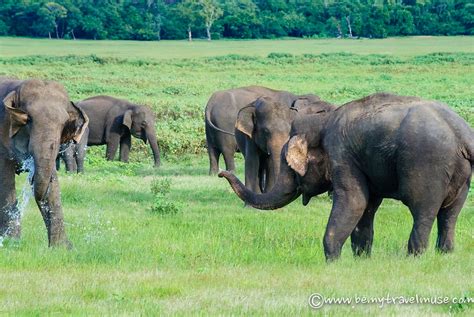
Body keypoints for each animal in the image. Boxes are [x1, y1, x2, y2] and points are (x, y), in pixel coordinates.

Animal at [0, 77, 88, 247]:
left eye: (63, 124)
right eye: (29, 119)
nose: (31, 178)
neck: (17, 86)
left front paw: (62, 248)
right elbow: (5, 180)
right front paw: (10, 242)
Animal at [219, 92, 474, 260]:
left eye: (289, 167)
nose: (223, 172)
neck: (322, 121)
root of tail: (462, 132)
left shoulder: (341, 155)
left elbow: (354, 201)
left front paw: (332, 261)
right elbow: (367, 205)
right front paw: (361, 258)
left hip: (426, 164)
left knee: (423, 211)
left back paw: (414, 257)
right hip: (462, 174)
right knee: (450, 213)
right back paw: (445, 254)